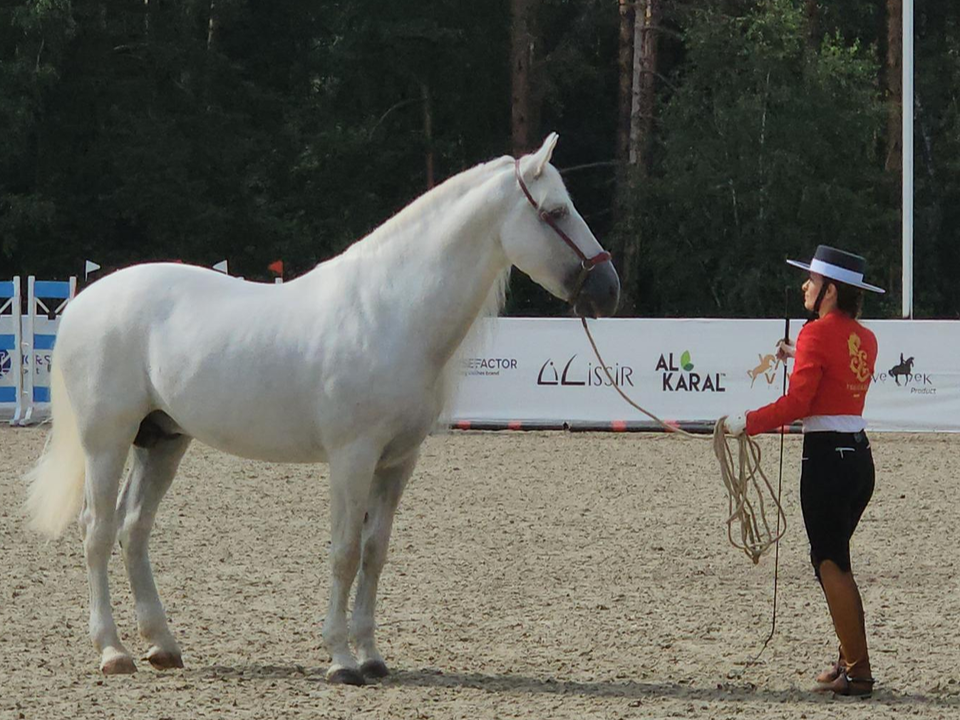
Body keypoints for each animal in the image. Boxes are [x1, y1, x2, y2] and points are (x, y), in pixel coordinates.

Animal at [28, 132, 624, 684]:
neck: (389, 311)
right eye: (555, 212)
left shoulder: (398, 462)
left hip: (163, 440)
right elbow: (344, 552)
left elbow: (375, 552)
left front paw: (373, 657)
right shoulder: (352, 457)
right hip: (106, 441)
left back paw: (162, 645)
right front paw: (341, 660)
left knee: (134, 529)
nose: (607, 289)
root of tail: (87, 300)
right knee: (97, 530)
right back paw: (113, 651)